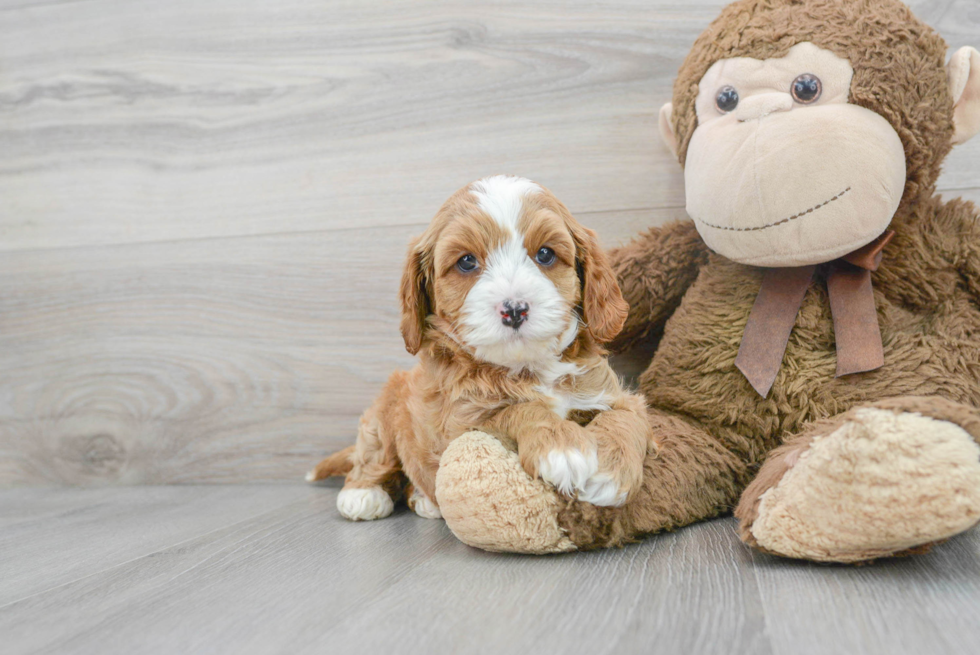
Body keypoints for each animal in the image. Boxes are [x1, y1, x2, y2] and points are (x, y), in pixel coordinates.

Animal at [310, 176, 656, 524]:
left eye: (545, 254)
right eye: (466, 261)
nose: (514, 309)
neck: (528, 367)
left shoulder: (610, 394)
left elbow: (626, 417)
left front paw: (611, 473)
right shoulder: (459, 427)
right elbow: (516, 410)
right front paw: (561, 448)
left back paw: (423, 500)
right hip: (383, 411)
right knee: (375, 454)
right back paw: (363, 494)